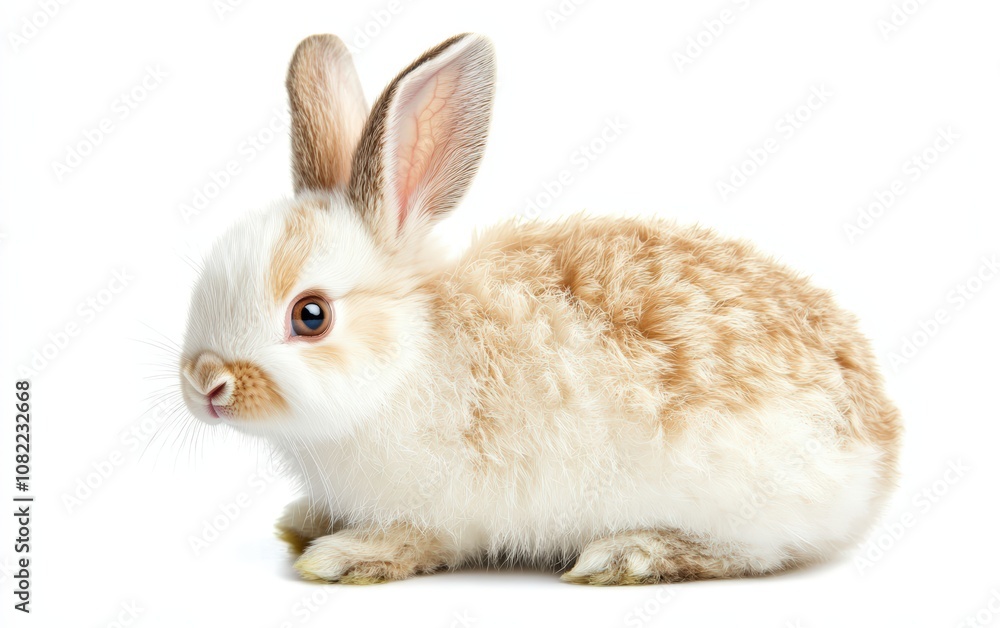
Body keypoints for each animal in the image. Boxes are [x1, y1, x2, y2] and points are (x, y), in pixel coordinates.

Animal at [179, 32, 902, 585]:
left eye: (311, 316)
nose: (206, 384)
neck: (410, 356)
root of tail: (879, 450)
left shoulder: (443, 510)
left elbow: (419, 538)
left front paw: (341, 556)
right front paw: (301, 523)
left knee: (750, 554)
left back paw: (628, 555)